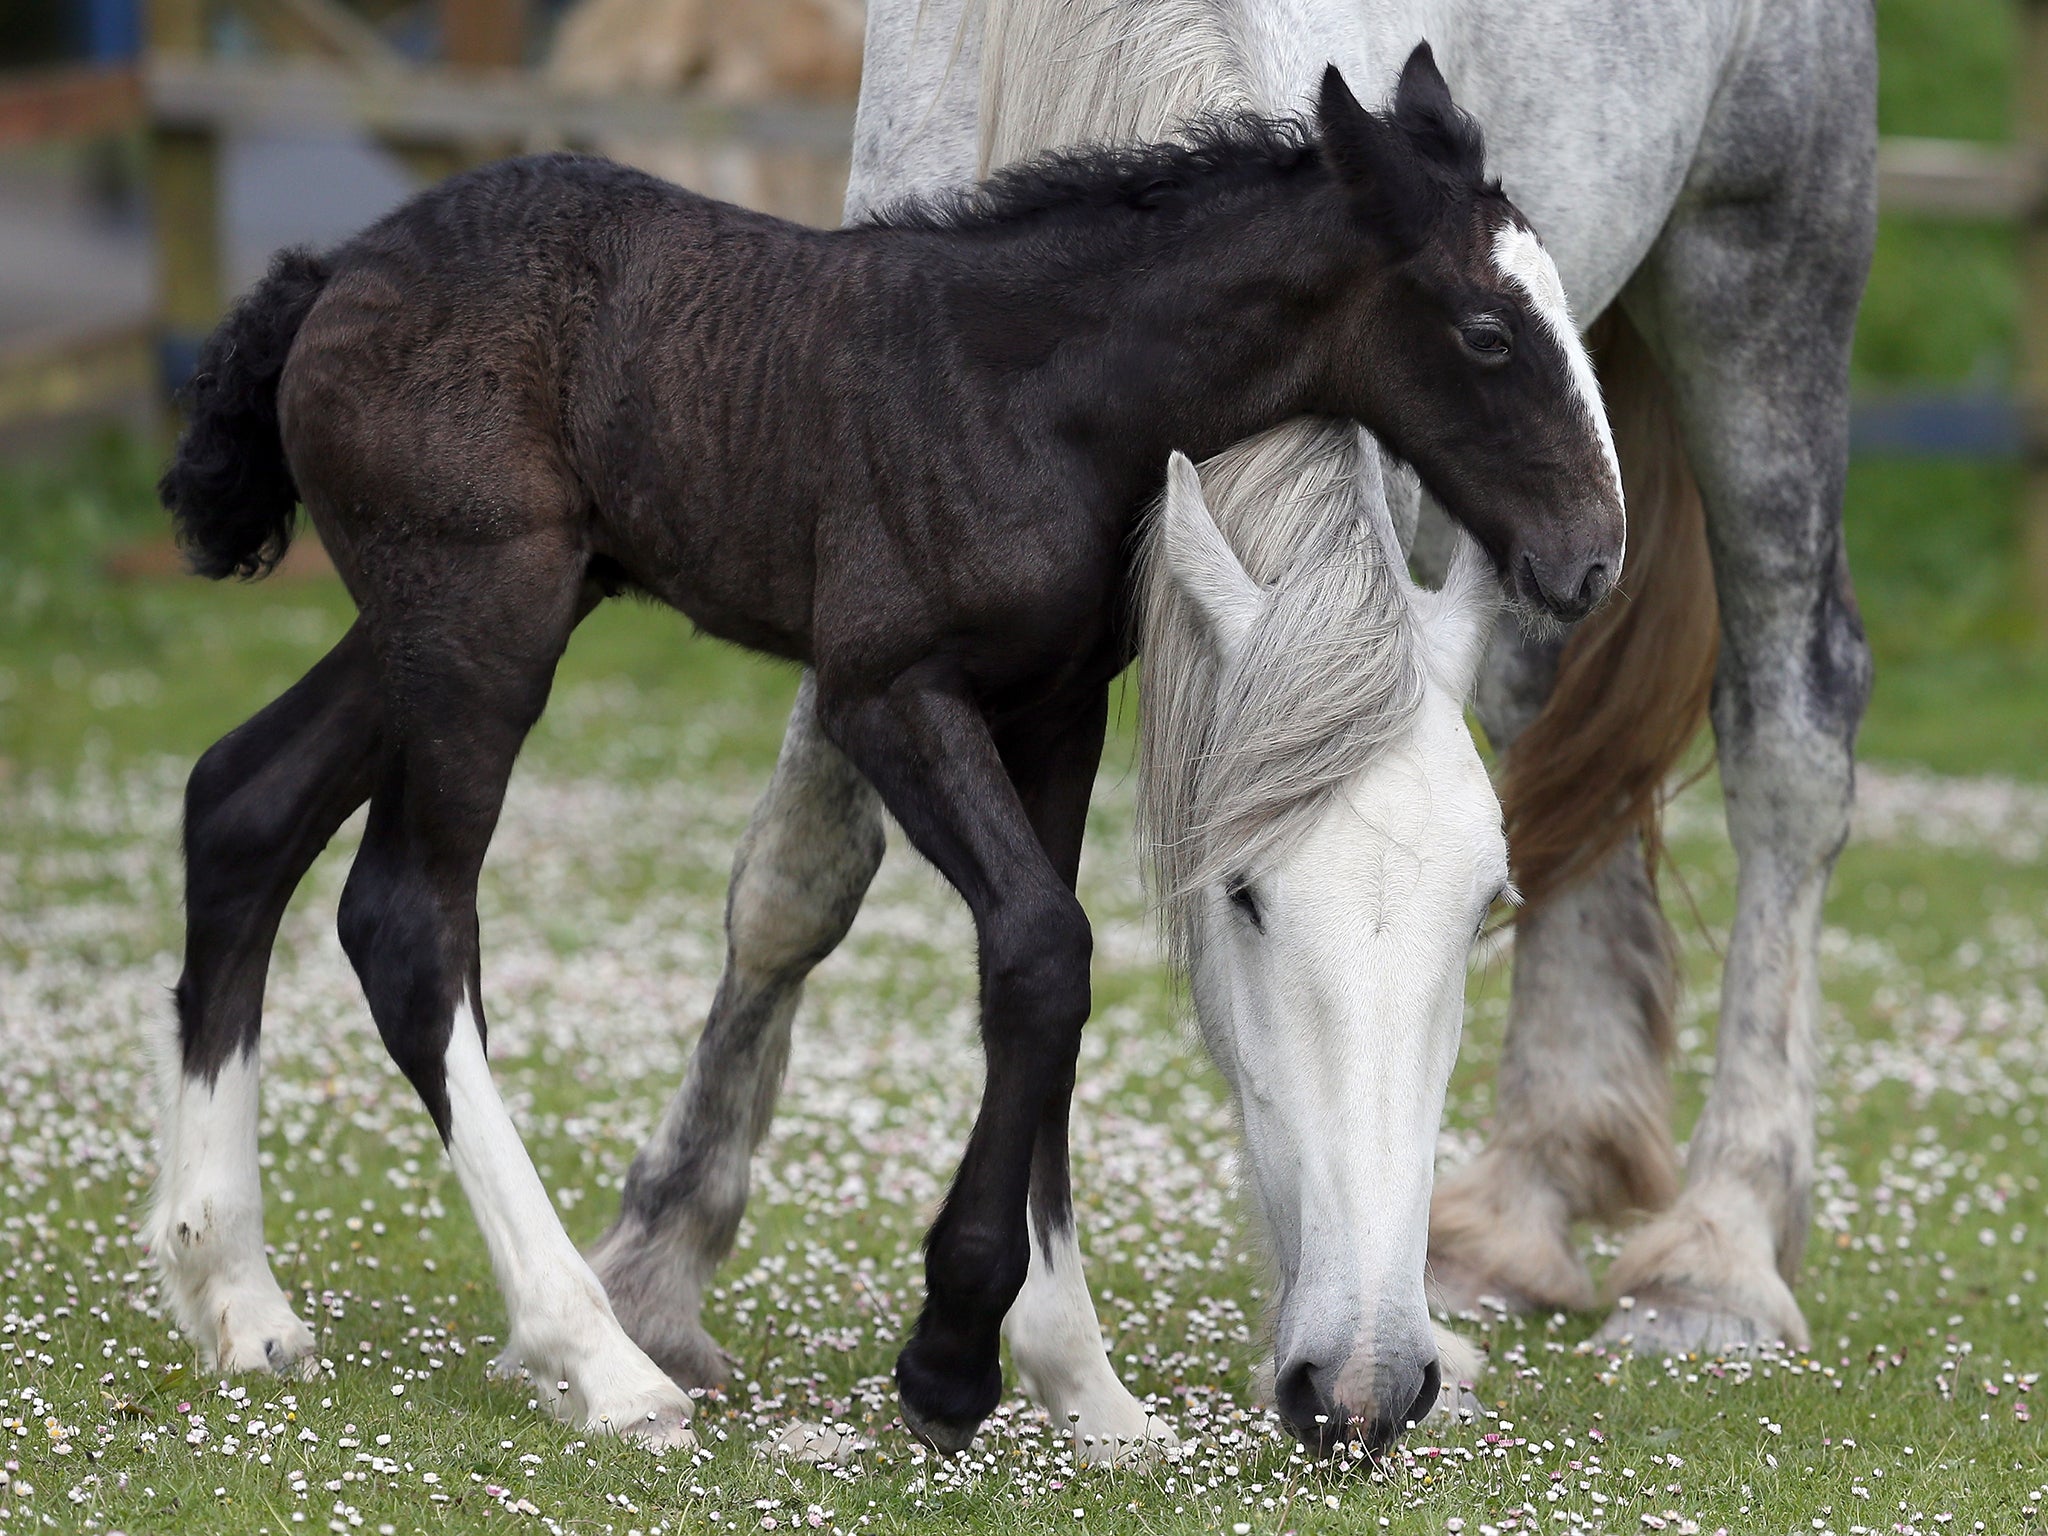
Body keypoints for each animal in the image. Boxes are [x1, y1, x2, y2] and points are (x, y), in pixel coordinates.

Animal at [144, 57, 1622, 1458]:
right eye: (1488, 331)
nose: (1592, 556)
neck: (1034, 394)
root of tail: (337, 273)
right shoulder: (886, 689)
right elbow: (1043, 950)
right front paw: (953, 1357)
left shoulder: (1055, 710)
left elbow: (1041, 972)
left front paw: (1081, 1386)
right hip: (481, 621)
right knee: (405, 921)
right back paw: (597, 1358)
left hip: (456, 615)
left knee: (239, 801)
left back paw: (235, 1294)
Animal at [593, 0, 1875, 1458]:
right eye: (1241, 901)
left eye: (1475, 917)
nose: (1370, 1383)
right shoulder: (865, 543)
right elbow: (798, 886)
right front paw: (654, 1276)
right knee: (1554, 716)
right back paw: (1518, 1214)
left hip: (1758, 281)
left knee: (1791, 730)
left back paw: (1719, 1257)